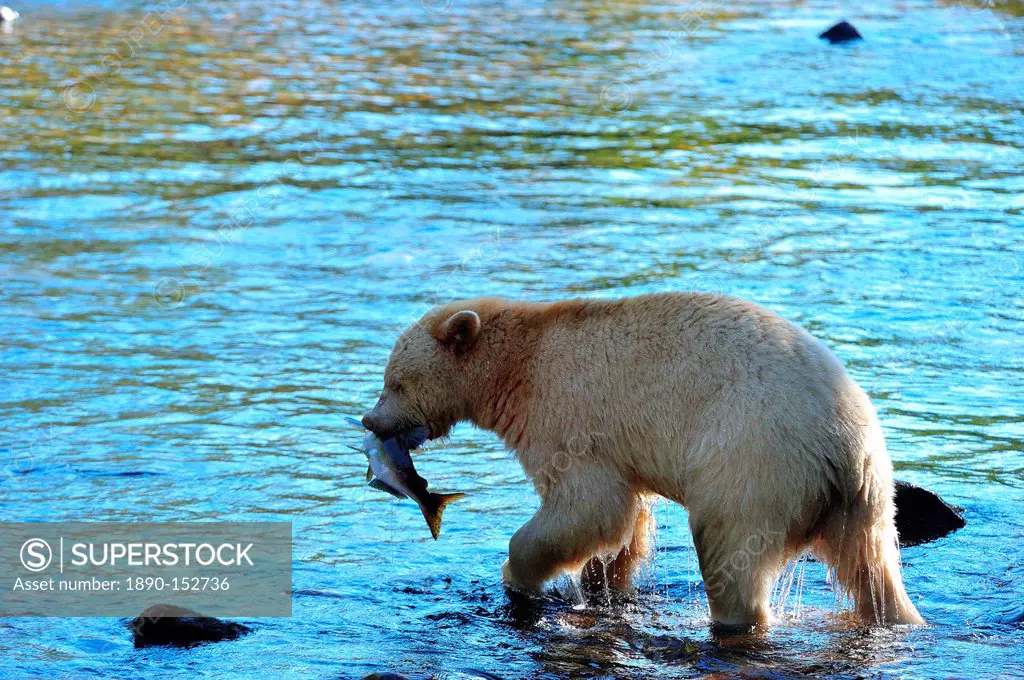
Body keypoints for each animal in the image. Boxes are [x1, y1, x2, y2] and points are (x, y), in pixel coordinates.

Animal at [364, 292, 925, 626]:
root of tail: (844, 448)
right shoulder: (618, 449)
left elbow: (587, 506)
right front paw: (602, 585)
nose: (371, 422)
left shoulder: (566, 414)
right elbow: (624, 524)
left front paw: (518, 574)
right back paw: (900, 617)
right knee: (873, 573)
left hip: (752, 460)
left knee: (728, 552)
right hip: (867, 500)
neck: (519, 365)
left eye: (395, 382)